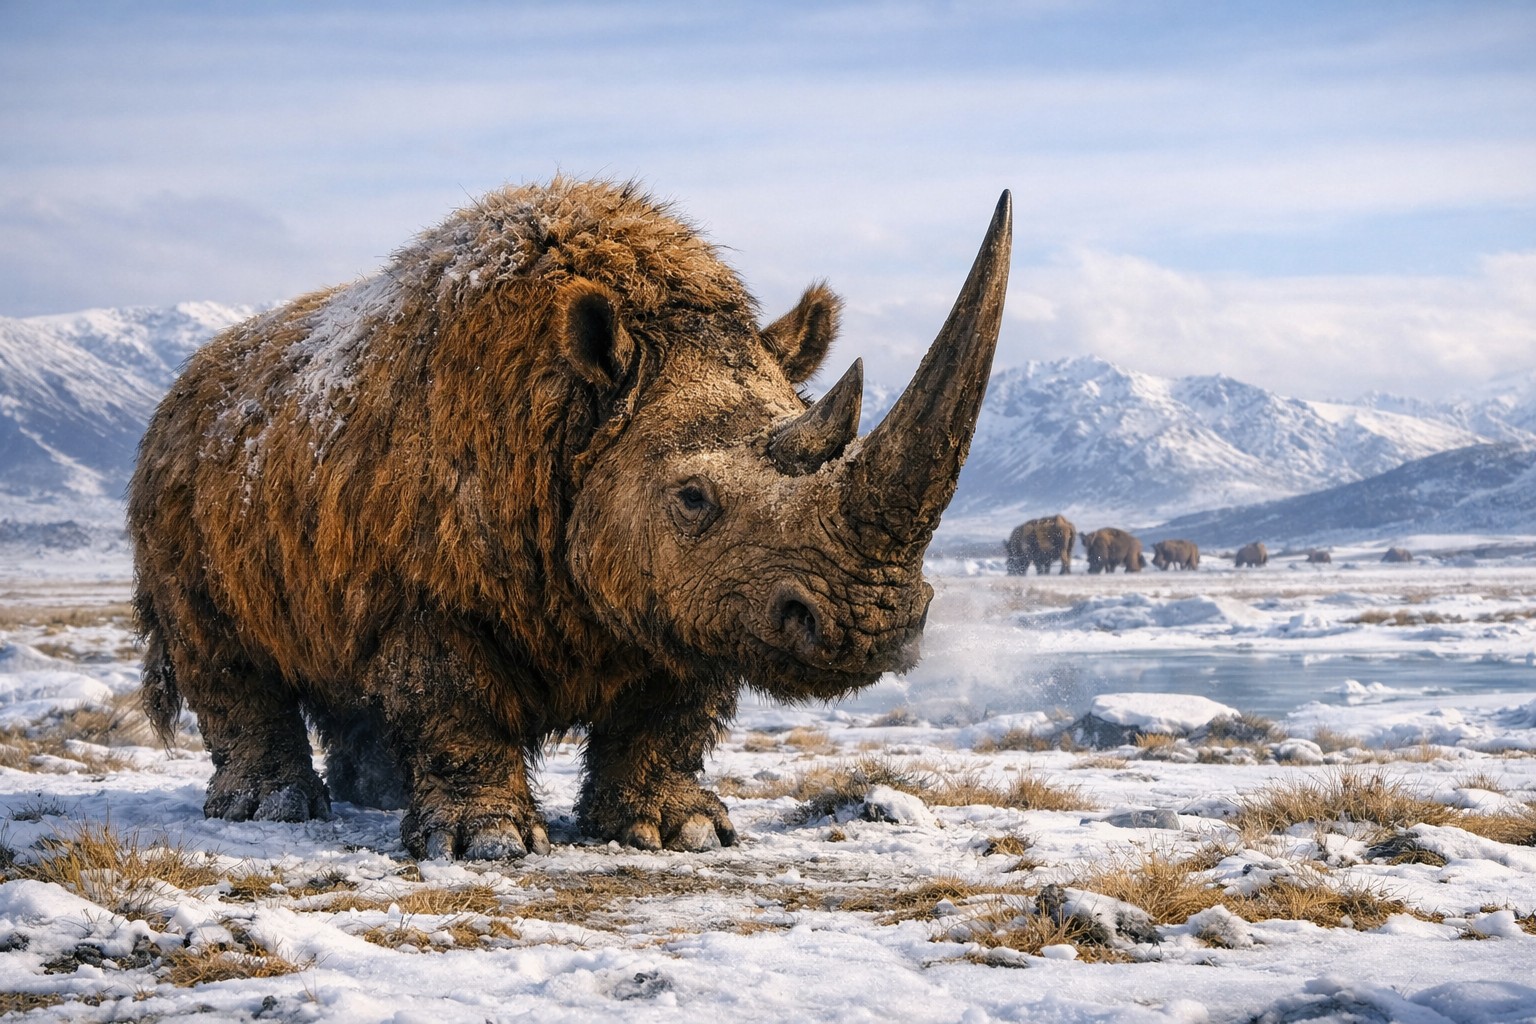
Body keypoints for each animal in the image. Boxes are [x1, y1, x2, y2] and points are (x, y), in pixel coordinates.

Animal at [128, 179, 1012, 860]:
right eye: (693, 499)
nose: (871, 625)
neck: (582, 419)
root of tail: (180, 394)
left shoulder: (684, 599)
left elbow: (670, 708)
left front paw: (677, 833)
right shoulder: (433, 592)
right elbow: (457, 697)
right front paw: (486, 843)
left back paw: (373, 796)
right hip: (178, 486)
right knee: (222, 651)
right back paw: (270, 811)